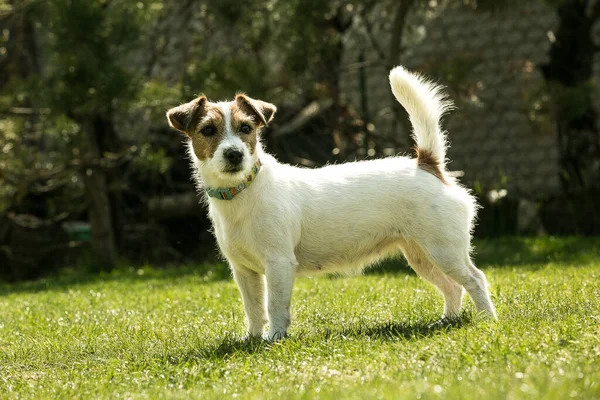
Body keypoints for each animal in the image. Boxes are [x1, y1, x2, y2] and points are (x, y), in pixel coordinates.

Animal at [165, 65, 496, 340]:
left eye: (246, 128)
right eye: (208, 130)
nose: (234, 154)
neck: (243, 192)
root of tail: (427, 165)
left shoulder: (278, 264)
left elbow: (275, 306)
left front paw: (274, 339)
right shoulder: (244, 271)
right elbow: (254, 309)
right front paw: (252, 339)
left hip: (443, 250)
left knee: (475, 279)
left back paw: (487, 321)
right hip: (422, 256)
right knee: (453, 286)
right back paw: (447, 321)